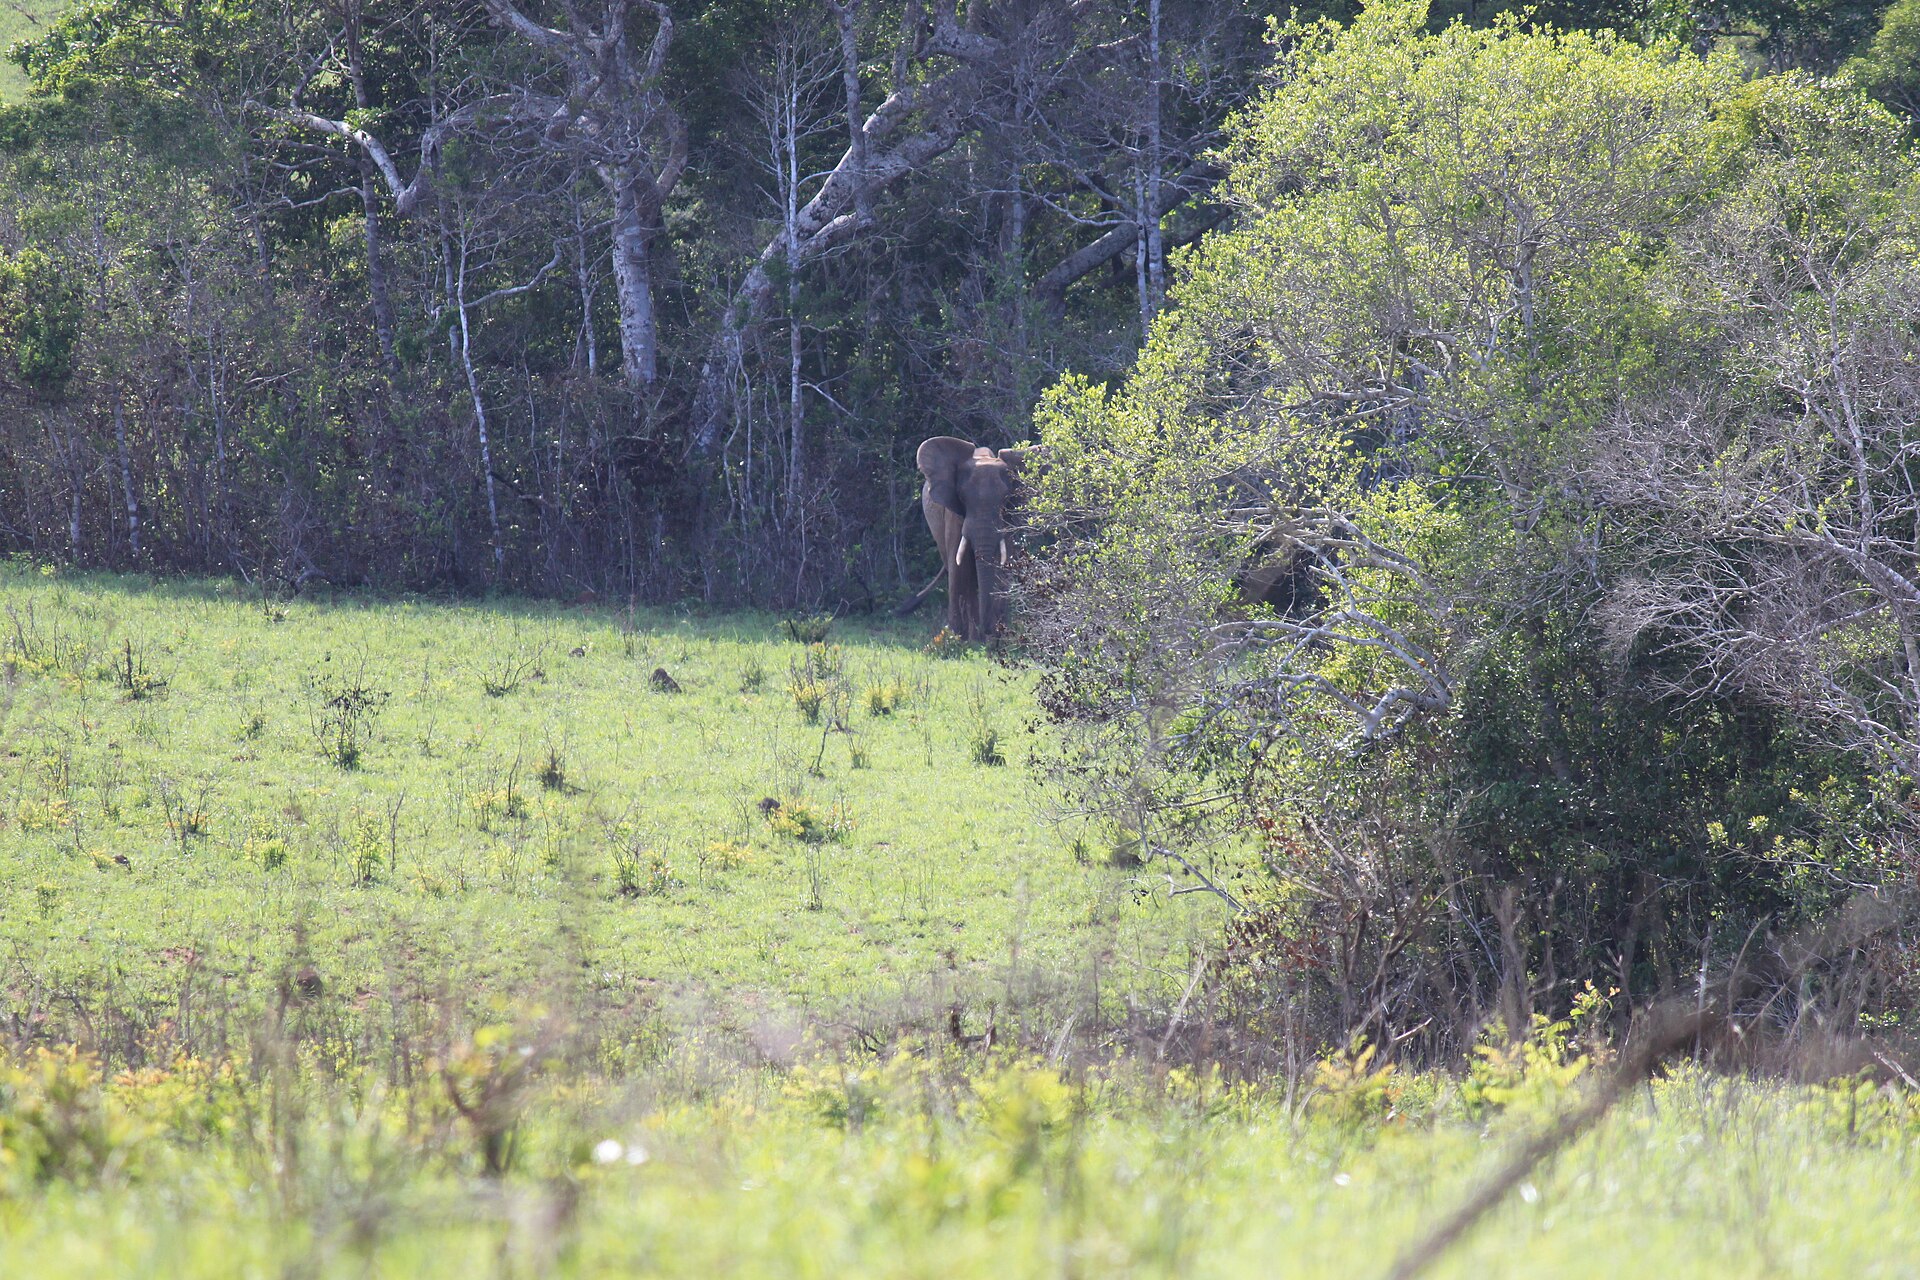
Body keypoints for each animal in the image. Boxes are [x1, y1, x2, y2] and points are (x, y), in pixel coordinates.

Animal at [895, 436, 1034, 640]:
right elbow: (958, 567)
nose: (989, 630)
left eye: (1005, 498)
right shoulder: (954, 515)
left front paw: (997, 637)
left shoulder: (1007, 519)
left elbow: (1001, 565)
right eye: (961, 497)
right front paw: (958, 638)